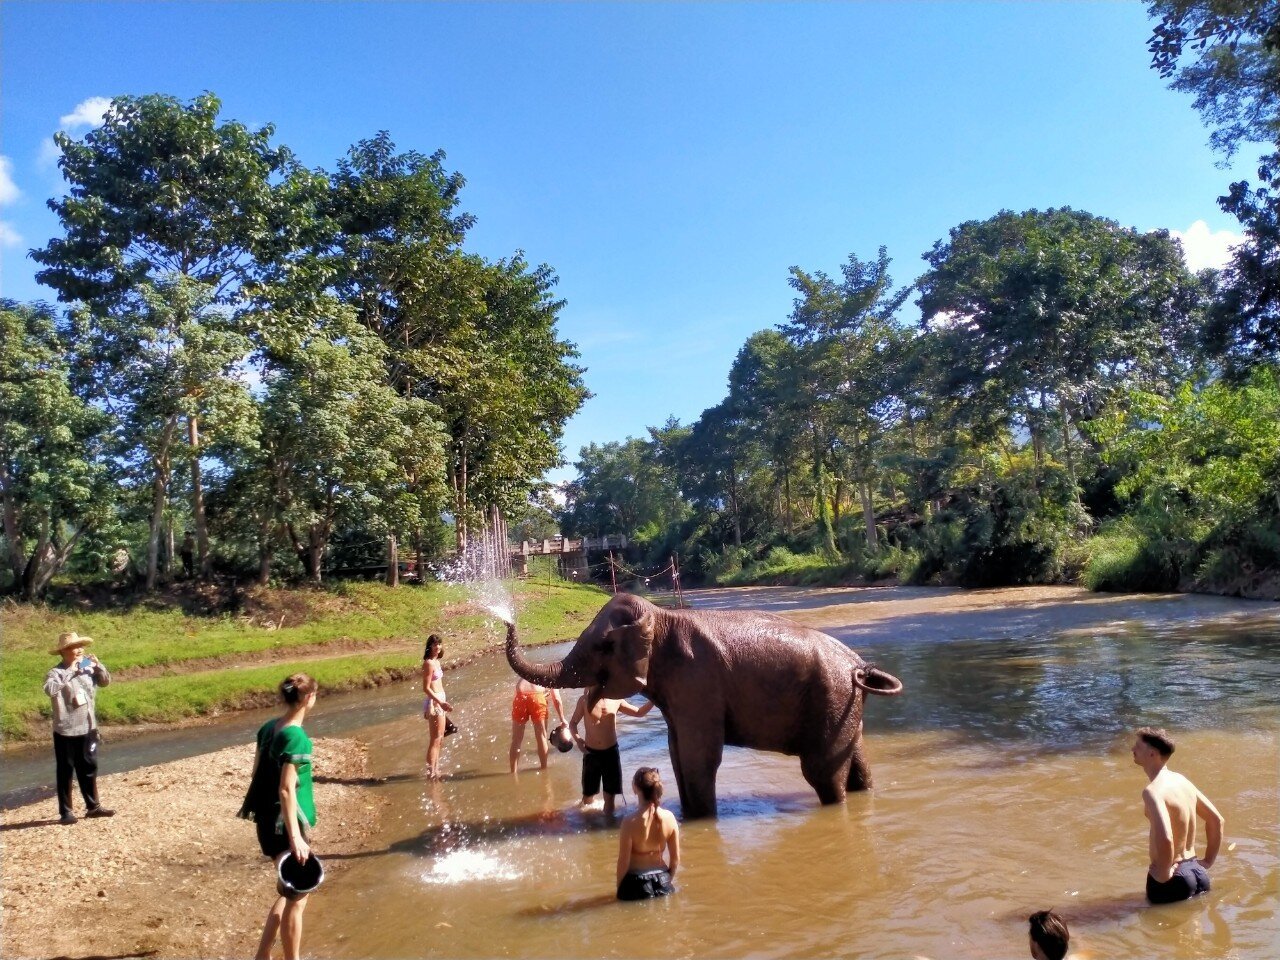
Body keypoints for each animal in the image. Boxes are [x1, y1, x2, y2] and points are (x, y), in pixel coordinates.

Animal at [504, 592, 903, 819]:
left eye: (604, 646)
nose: (508, 623)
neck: (660, 617)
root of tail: (859, 666)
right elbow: (677, 751)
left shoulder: (697, 681)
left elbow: (700, 755)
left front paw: (702, 822)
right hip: (842, 705)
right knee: (856, 762)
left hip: (830, 699)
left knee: (821, 772)